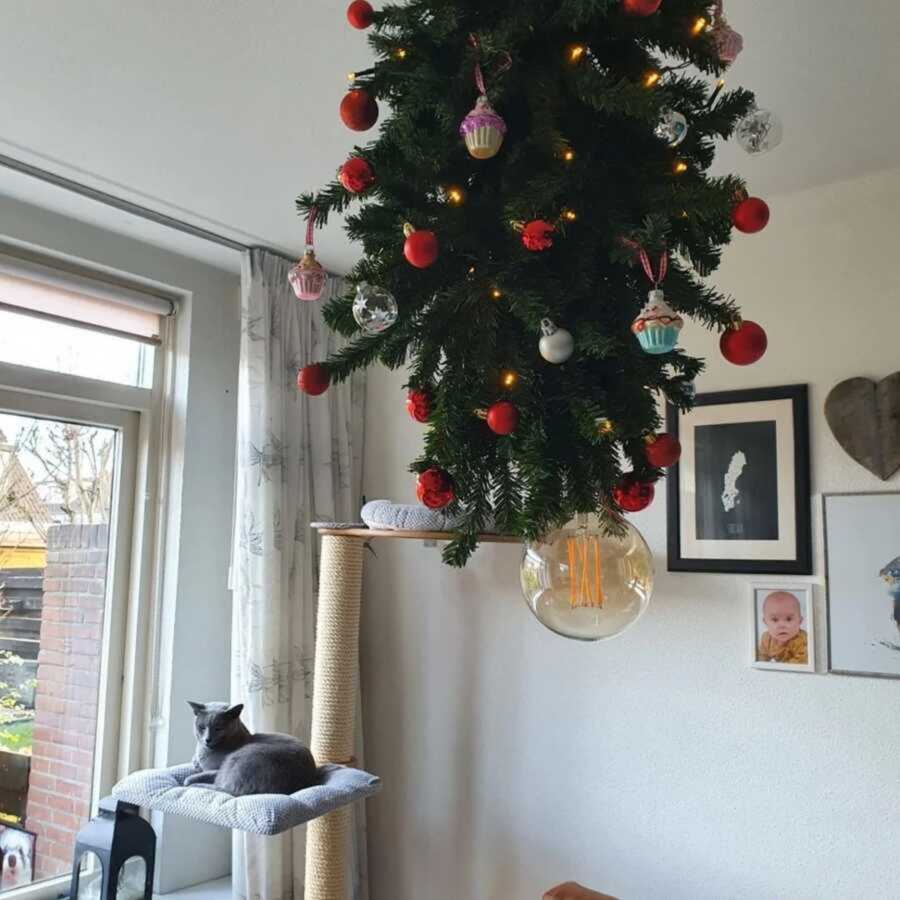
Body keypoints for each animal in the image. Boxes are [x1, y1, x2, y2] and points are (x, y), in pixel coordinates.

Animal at [184, 704, 320, 796]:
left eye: (218, 728)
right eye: (202, 727)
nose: (207, 739)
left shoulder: (215, 770)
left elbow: (201, 774)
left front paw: (188, 780)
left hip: (240, 757)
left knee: (221, 785)